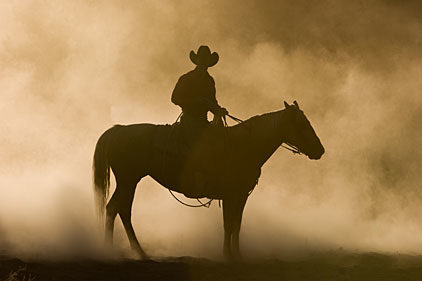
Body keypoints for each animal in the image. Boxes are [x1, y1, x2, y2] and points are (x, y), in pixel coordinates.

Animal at [91, 99, 324, 260]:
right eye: (302, 125)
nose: (320, 151)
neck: (245, 145)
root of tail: (118, 130)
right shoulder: (232, 195)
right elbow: (230, 225)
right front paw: (229, 256)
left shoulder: (239, 195)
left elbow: (235, 224)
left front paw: (235, 255)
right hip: (128, 180)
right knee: (115, 208)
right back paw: (111, 251)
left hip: (130, 181)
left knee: (121, 210)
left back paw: (138, 252)